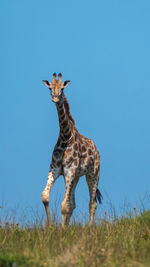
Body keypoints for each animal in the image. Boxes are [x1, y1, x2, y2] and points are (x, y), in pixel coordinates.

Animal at [41, 73, 102, 228]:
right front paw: (51, 227)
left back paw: (90, 227)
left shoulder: (69, 170)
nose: (55, 98)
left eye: (62, 88)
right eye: (50, 87)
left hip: (93, 174)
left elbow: (64, 205)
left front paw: (62, 230)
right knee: (73, 203)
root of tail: (97, 149)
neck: (65, 137)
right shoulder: (56, 169)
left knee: (92, 202)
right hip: (76, 177)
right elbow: (45, 196)